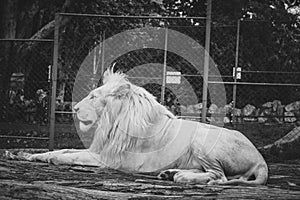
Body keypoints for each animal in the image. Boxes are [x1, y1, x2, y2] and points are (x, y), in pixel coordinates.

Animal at [25, 68, 268, 185]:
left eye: (93, 97)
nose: (74, 108)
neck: (111, 121)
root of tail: (261, 160)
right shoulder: (101, 149)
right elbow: (63, 150)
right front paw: (31, 156)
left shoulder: (111, 159)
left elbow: (70, 156)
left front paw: (50, 159)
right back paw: (170, 174)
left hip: (203, 139)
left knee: (219, 176)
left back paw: (181, 177)